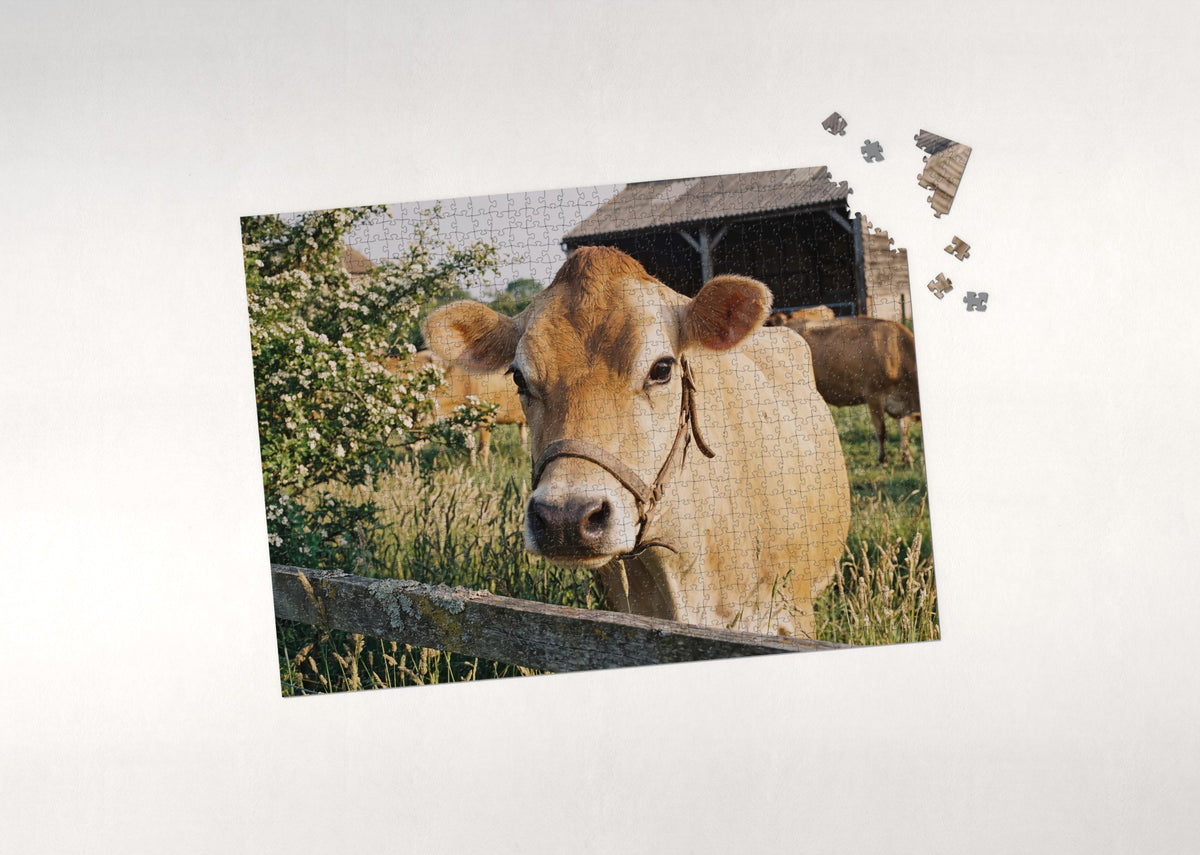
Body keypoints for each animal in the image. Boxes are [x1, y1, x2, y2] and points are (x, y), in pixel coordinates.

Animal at [381, 350, 527, 463]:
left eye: (423, 418)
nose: (409, 446)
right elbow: (470, 448)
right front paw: (473, 468)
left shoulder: (487, 417)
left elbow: (482, 450)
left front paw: (485, 471)